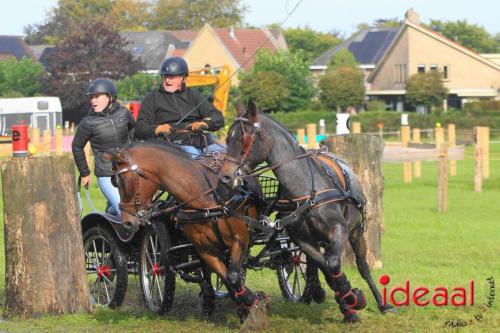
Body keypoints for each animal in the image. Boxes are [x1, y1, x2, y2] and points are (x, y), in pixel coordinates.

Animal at [106, 140, 270, 330]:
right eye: (115, 181)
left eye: (125, 181)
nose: (127, 223)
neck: (206, 198)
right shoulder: (205, 249)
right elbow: (226, 277)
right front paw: (246, 307)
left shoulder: (240, 239)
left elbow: (233, 276)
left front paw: (253, 303)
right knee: (207, 272)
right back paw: (208, 300)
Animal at [218, 100, 394, 320]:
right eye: (227, 138)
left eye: (244, 138)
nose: (225, 178)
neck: (305, 189)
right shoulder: (303, 240)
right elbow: (326, 267)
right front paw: (346, 298)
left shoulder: (339, 229)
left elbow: (333, 263)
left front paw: (352, 297)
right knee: (315, 265)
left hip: (355, 230)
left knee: (363, 266)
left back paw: (381, 303)